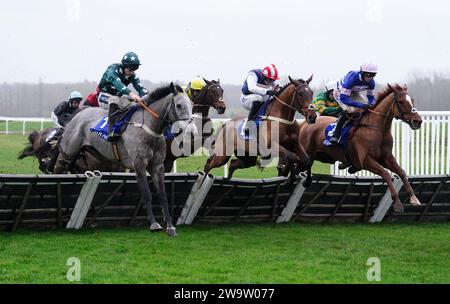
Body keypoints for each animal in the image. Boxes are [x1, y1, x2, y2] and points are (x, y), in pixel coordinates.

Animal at [52, 82, 197, 235]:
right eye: (179, 105)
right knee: (59, 162)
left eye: (192, 104)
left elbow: (163, 196)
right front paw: (154, 224)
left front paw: (170, 226)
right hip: (68, 149)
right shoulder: (139, 165)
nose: (192, 132)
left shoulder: (158, 166)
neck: (149, 128)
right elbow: (147, 194)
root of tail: (79, 113)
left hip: (90, 152)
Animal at [298, 83, 424, 211]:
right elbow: (386, 174)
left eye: (412, 100)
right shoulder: (366, 160)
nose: (417, 121)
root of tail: (305, 123)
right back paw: (305, 181)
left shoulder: (386, 158)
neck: (377, 129)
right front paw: (397, 203)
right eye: (401, 101)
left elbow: (402, 172)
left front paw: (414, 198)